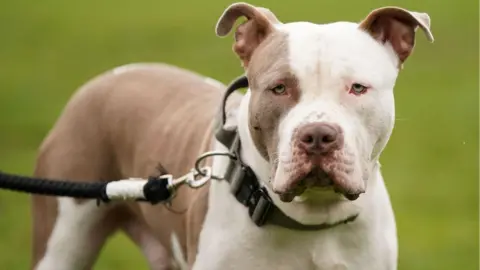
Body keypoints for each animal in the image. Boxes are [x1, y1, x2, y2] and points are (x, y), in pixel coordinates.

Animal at [31, 2, 434, 270]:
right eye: (279, 88)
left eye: (357, 88)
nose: (318, 135)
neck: (311, 221)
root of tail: (108, 77)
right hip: (61, 239)